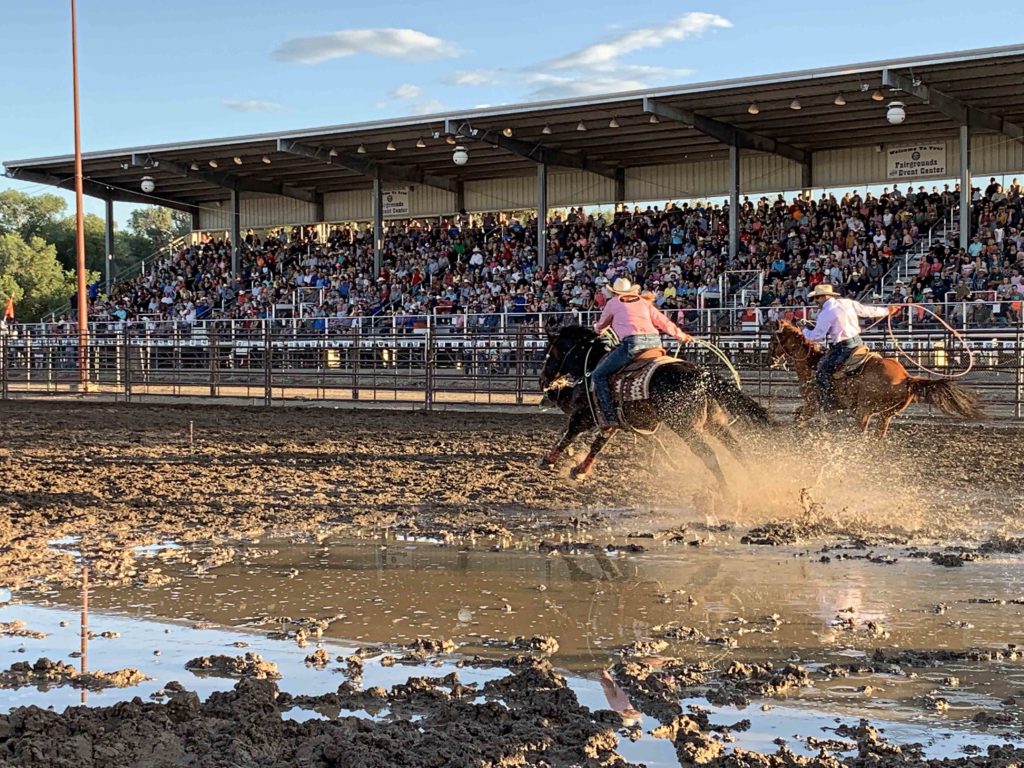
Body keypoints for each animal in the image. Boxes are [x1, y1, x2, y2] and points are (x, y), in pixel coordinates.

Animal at [540, 325, 770, 499]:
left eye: (548, 354)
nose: (543, 380)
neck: (592, 365)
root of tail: (701, 375)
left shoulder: (585, 415)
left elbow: (569, 434)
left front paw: (548, 460)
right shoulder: (611, 421)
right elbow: (597, 446)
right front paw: (579, 471)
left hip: (686, 427)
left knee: (709, 455)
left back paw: (727, 491)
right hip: (715, 423)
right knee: (737, 449)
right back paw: (755, 481)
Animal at [770, 319, 983, 438]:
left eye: (772, 339)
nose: (768, 359)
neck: (812, 364)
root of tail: (906, 378)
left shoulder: (813, 405)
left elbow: (798, 417)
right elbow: (797, 415)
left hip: (864, 411)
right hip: (886, 414)